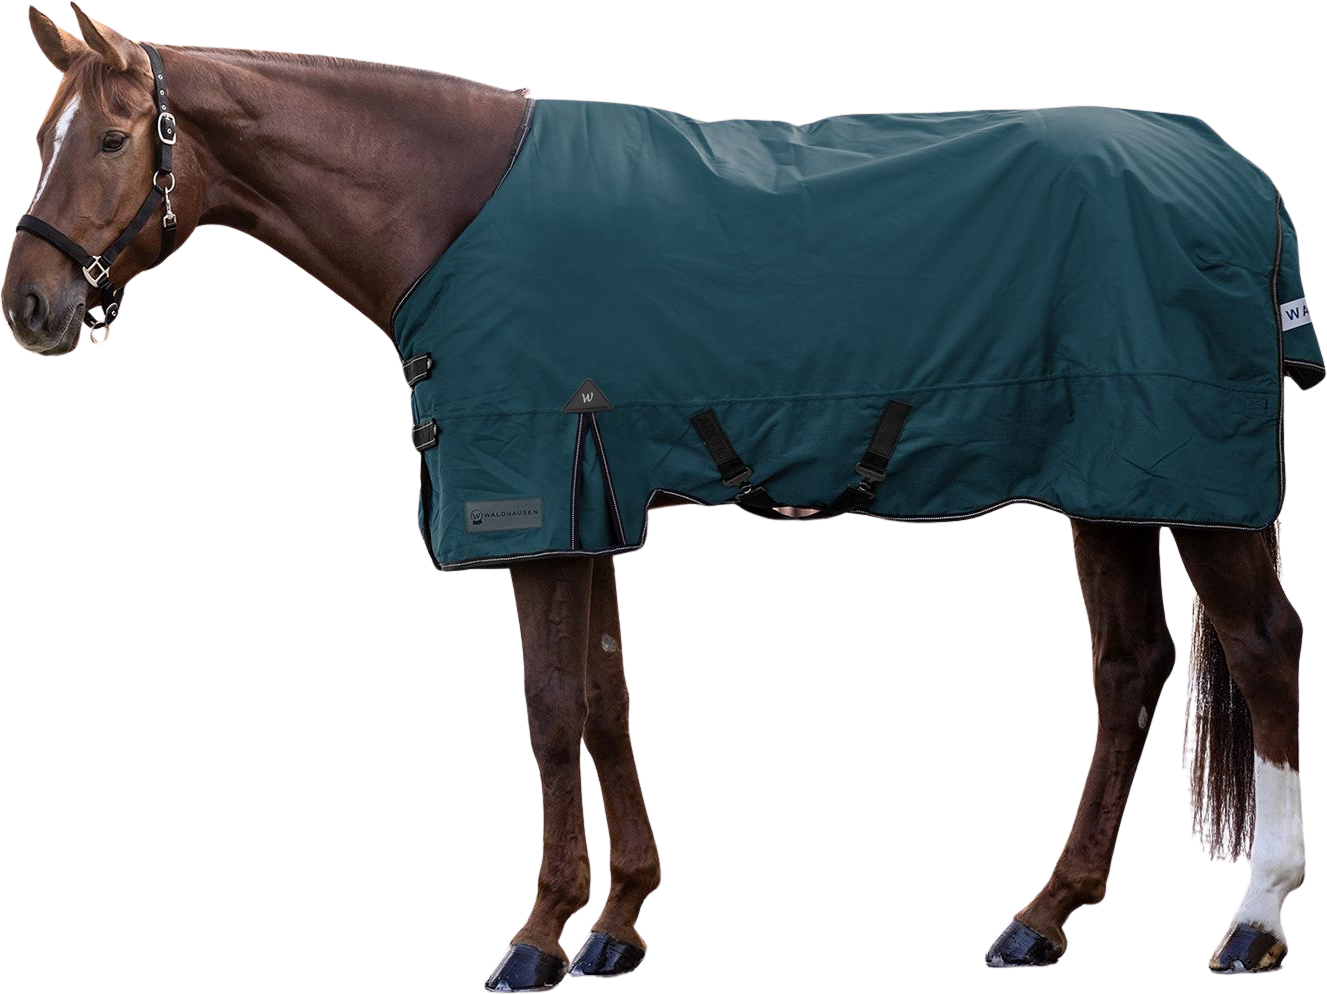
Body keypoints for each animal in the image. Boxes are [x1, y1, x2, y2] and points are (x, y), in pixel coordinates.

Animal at [3, 7, 1310, 987]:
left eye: (112, 138)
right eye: (43, 137)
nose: (28, 308)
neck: (449, 207)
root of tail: (1234, 171)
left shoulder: (534, 501)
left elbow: (547, 710)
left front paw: (537, 938)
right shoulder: (593, 505)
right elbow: (604, 701)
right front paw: (618, 922)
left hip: (1194, 482)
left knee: (1260, 651)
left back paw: (1254, 919)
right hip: (1113, 481)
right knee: (1129, 671)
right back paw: (1043, 915)